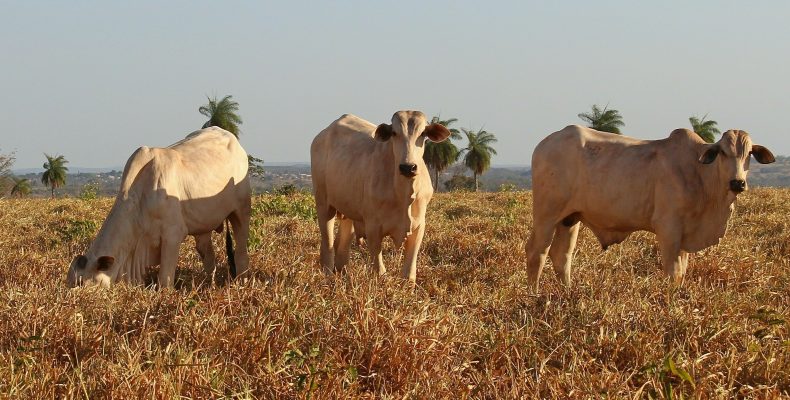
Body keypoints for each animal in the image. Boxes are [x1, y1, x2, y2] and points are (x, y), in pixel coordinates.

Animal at [69, 128, 254, 288]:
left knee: (241, 252)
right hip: (203, 227)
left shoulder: (173, 235)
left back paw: (242, 283)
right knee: (209, 258)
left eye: (82, 282)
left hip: (241, 211)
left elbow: (165, 279)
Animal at [312, 110, 454, 282]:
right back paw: (328, 276)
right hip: (324, 204)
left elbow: (409, 273)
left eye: (422, 134)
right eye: (394, 133)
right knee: (328, 245)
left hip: (348, 211)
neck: (403, 195)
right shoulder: (373, 227)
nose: (408, 168)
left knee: (342, 247)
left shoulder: (419, 226)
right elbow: (380, 270)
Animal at [528, 125, 776, 288]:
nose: (737, 183)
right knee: (536, 252)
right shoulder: (669, 229)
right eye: (723, 152)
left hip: (570, 219)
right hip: (546, 215)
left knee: (562, 255)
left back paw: (567, 293)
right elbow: (673, 272)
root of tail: (544, 144)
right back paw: (535, 294)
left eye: (749, 153)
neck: (700, 174)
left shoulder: (684, 236)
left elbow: (682, 271)